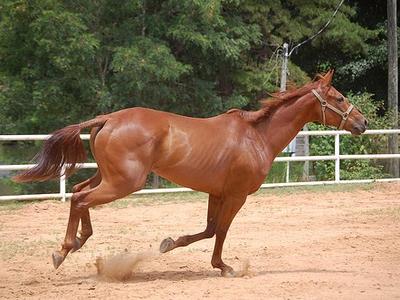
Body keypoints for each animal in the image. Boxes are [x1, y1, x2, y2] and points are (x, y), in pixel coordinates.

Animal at [14, 71, 368, 276]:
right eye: (339, 97)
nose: (362, 122)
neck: (257, 136)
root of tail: (109, 119)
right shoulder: (236, 196)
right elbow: (220, 231)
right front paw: (223, 267)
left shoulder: (217, 193)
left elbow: (209, 229)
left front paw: (170, 243)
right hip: (122, 183)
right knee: (81, 199)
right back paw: (63, 250)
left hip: (108, 177)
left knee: (78, 193)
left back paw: (77, 243)